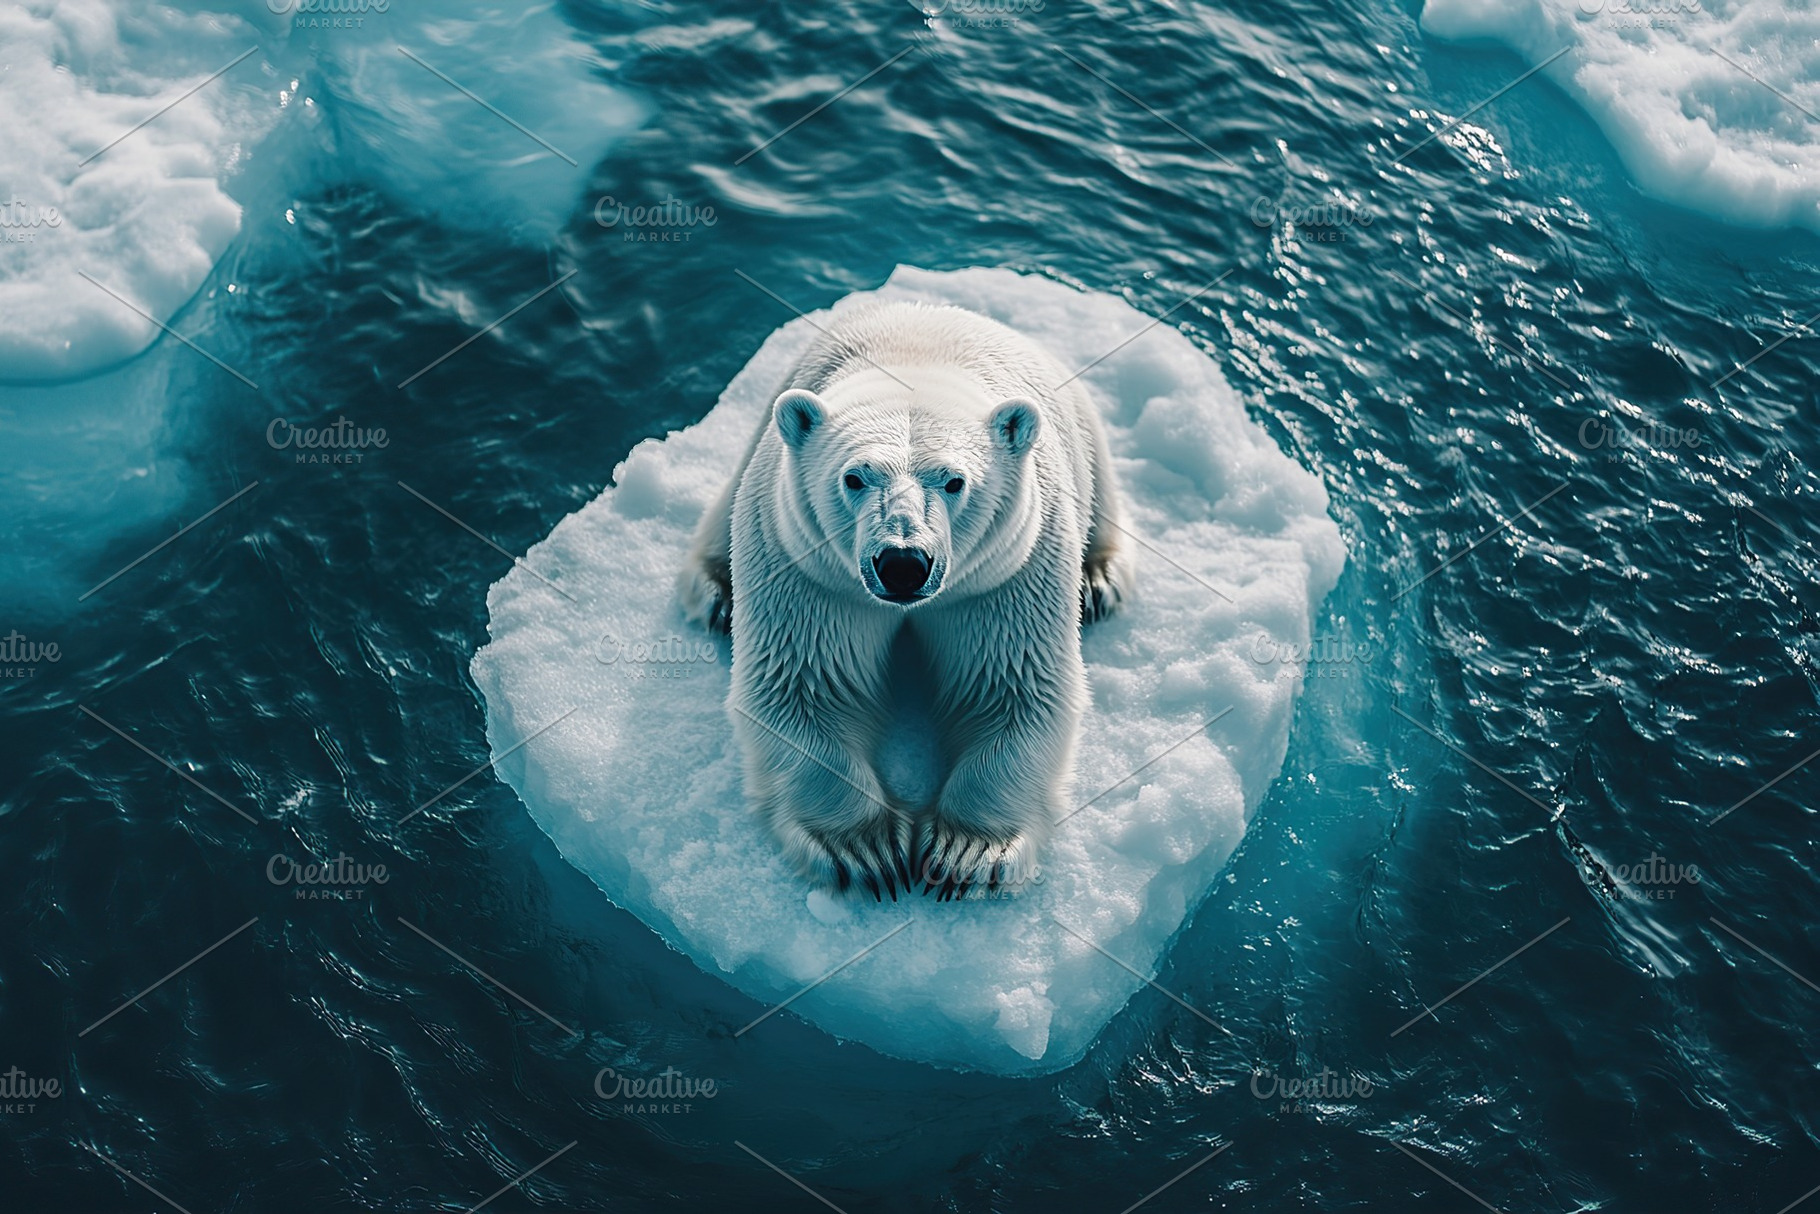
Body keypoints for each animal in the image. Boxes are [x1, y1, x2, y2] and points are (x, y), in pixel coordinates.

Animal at [677, 300, 1133, 899]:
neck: (917, 365)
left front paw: (966, 851)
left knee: (1104, 496)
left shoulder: (1007, 573)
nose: (901, 563)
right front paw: (865, 849)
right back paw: (716, 595)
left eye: (955, 481)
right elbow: (805, 685)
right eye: (854, 477)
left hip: (1080, 421)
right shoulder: (809, 568)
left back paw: (1099, 581)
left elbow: (1012, 687)